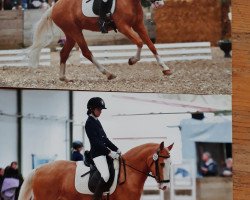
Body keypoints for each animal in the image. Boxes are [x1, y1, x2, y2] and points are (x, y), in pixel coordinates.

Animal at [27, 0, 172, 83]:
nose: (161, 4)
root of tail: (55, 6)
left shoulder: (139, 25)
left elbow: (151, 46)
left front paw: (165, 69)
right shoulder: (123, 27)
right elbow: (140, 42)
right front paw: (132, 60)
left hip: (71, 34)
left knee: (64, 53)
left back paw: (64, 78)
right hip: (74, 31)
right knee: (86, 52)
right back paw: (108, 73)